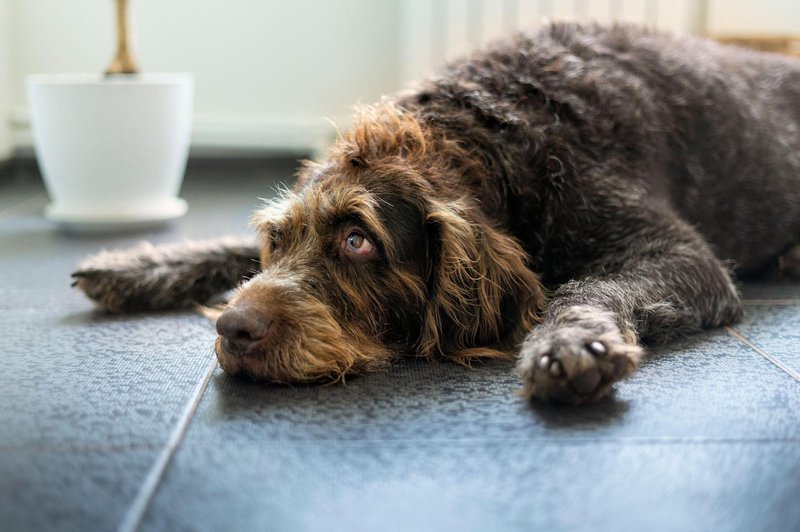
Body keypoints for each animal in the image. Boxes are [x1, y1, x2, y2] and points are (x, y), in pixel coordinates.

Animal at [73, 21, 800, 404]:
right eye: (276, 240)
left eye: (358, 240)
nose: (233, 328)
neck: (497, 141)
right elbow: (223, 249)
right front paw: (139, 264)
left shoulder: (680, 256)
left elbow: (584, 286)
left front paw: (570, 342)